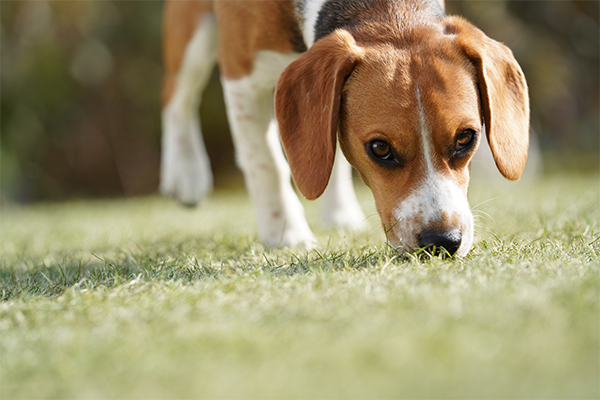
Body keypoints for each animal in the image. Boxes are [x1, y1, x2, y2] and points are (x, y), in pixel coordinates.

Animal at [161, 0, 528, 256]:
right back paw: (187, 173)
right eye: (380, 148)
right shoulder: (242, 79)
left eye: (466, 138)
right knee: (177, 95)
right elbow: (265, 164)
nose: (442, 241)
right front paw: (285, 234)